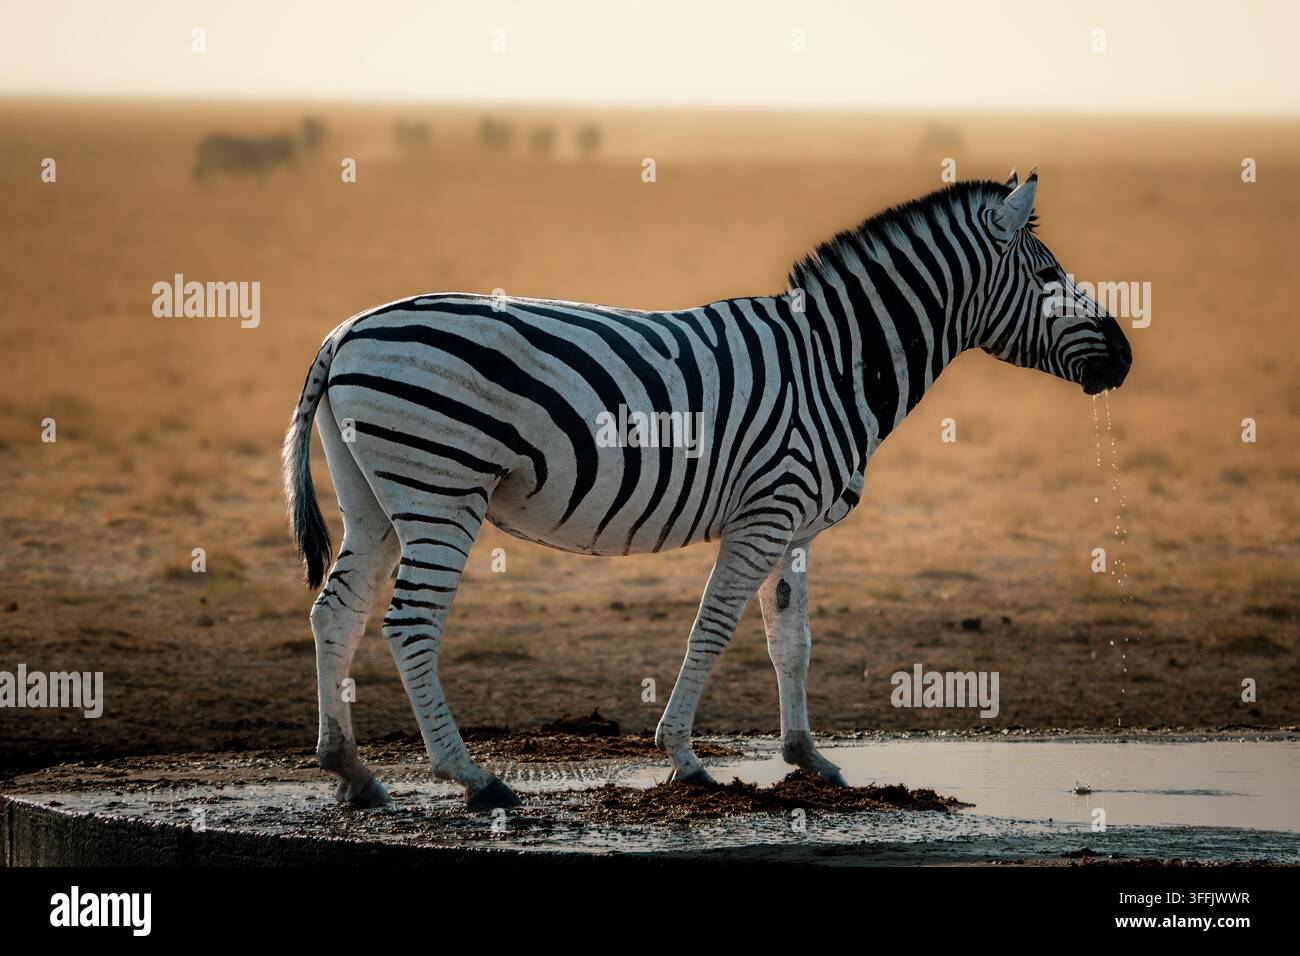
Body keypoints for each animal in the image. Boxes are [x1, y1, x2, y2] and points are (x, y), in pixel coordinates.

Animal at [283, 168, 1132, 809]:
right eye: (1049, 275)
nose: (1124, 358)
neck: (836, 361)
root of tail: (342, 333)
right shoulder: (766, 513)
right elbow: (714, 626)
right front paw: (685, 758)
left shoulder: (795, 527)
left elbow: (791, 640)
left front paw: (807, 758)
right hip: (442, 486)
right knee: (409, 622)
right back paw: (472, 778)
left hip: (374, 498)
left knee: (337, 610)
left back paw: (351, 772)